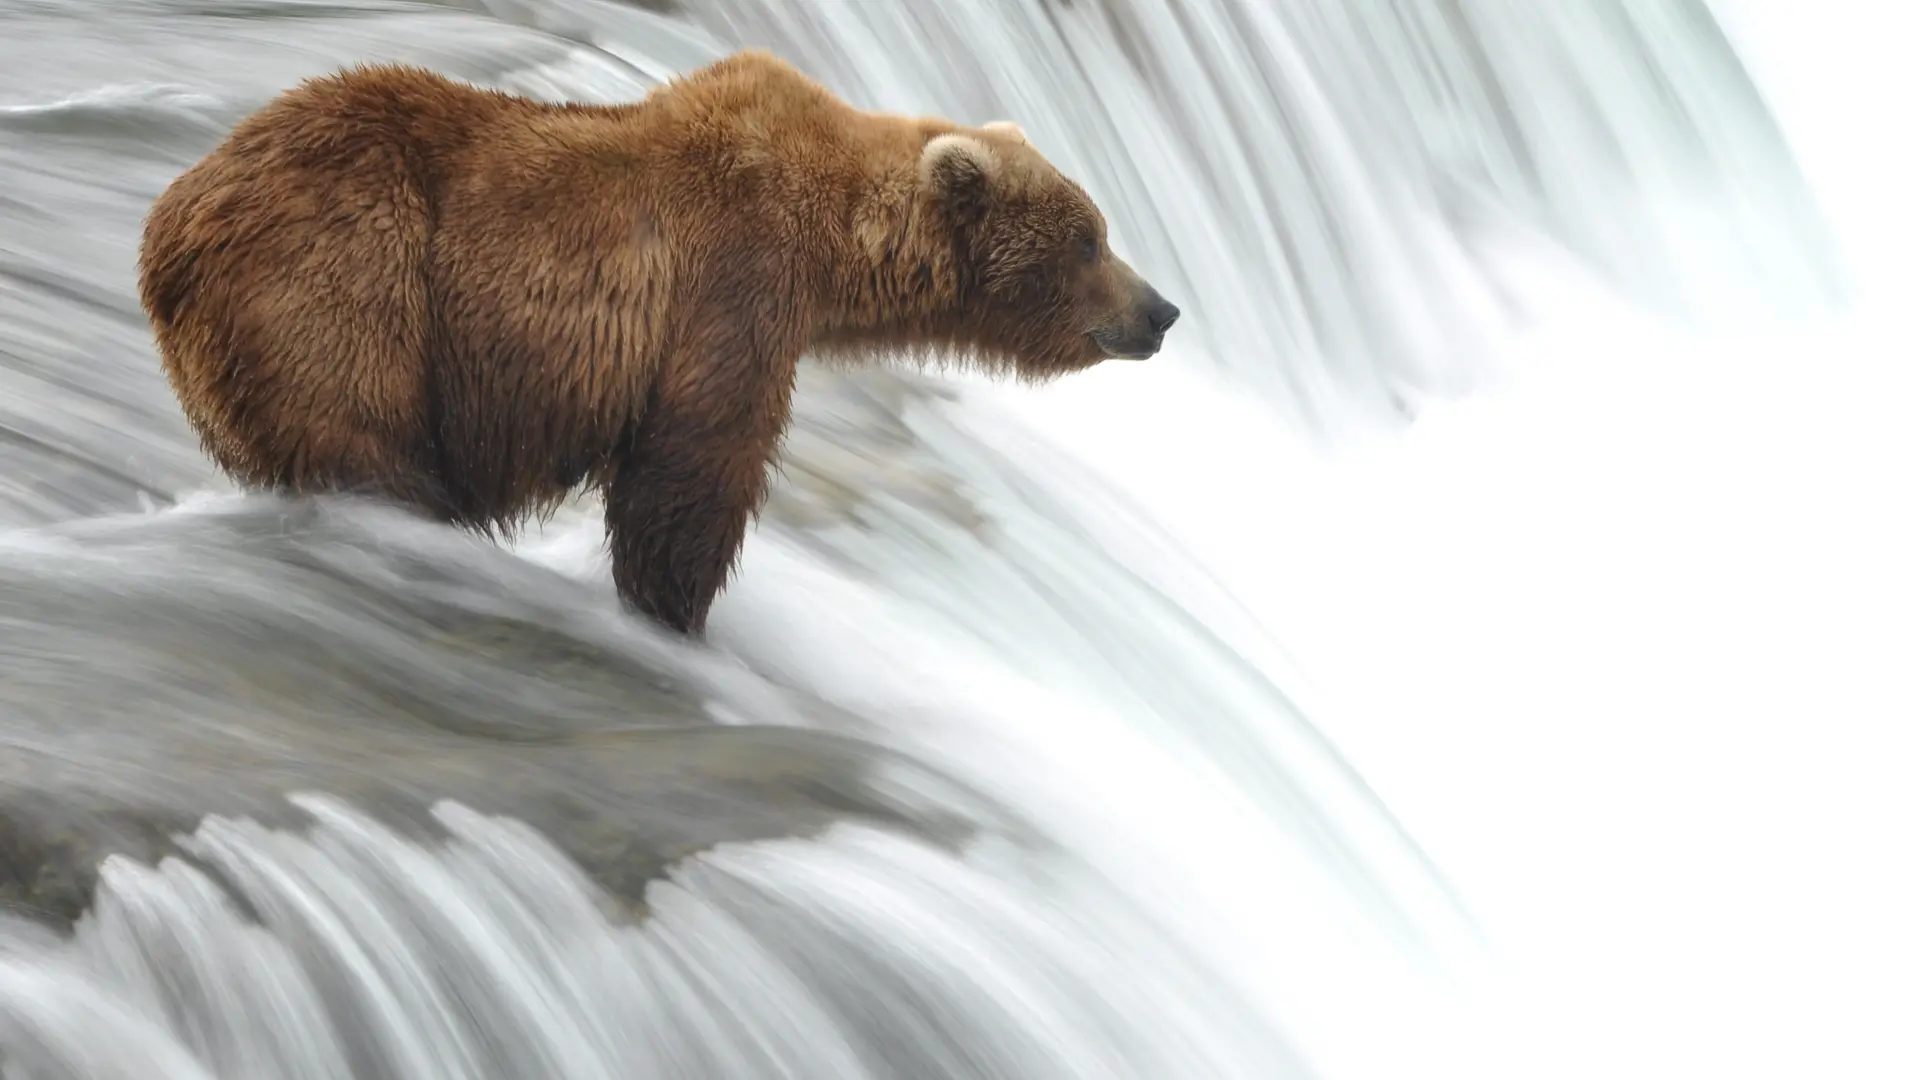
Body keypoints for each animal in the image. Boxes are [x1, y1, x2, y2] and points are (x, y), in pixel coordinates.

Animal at [135, 50, 1181, 636]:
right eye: (1089, 239)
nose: (1163, 310)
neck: (832, 243)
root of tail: (166, 227)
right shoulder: (729, 286)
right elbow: (691, 471)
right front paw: (674, 612)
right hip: (348, 275)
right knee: (363, 440)